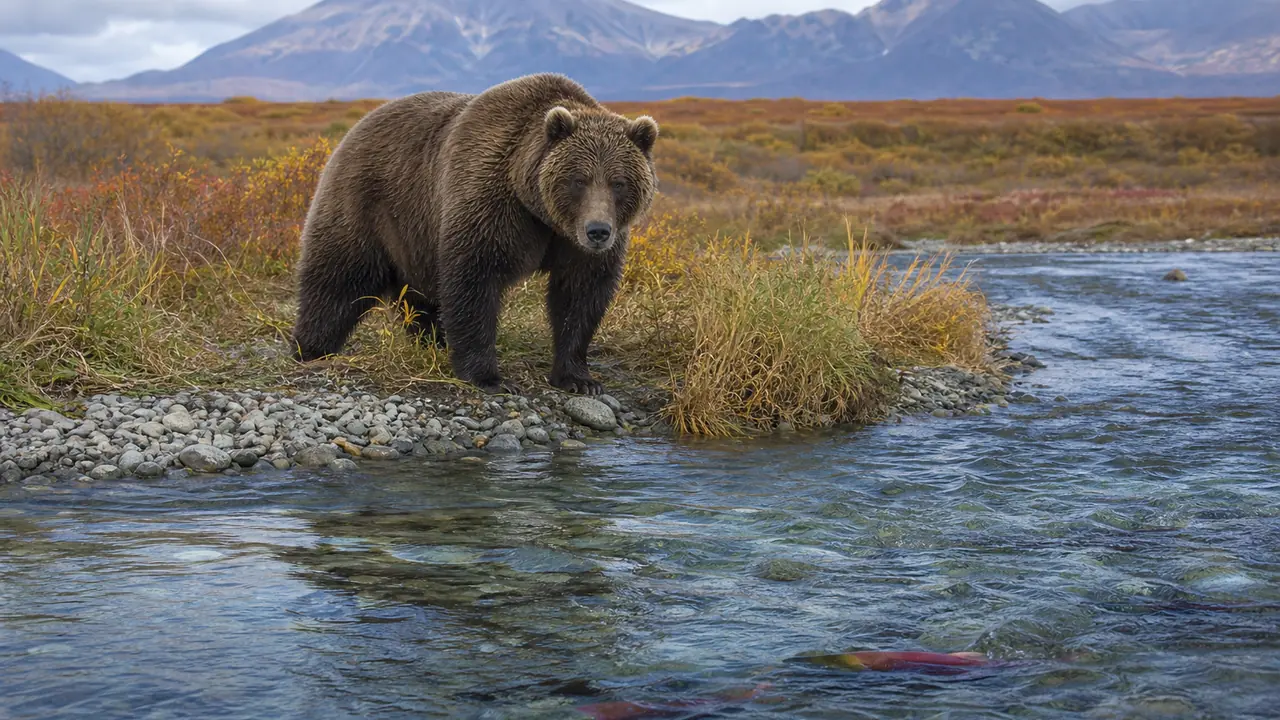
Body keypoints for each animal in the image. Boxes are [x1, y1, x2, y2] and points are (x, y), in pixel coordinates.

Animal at [290, 73, 659, 395]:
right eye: (578, 180)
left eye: (618, 182)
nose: (598, 231)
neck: (540, 211)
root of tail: (357, 126)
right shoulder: (490, 201)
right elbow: (475, 280)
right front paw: (489, 377)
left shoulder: (573, 243)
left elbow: (581, 294)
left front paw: (579, 378)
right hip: (370, 203)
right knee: (338, 278)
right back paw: (311, 348)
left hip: (414, 236)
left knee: (420, 295)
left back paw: (434, 341)